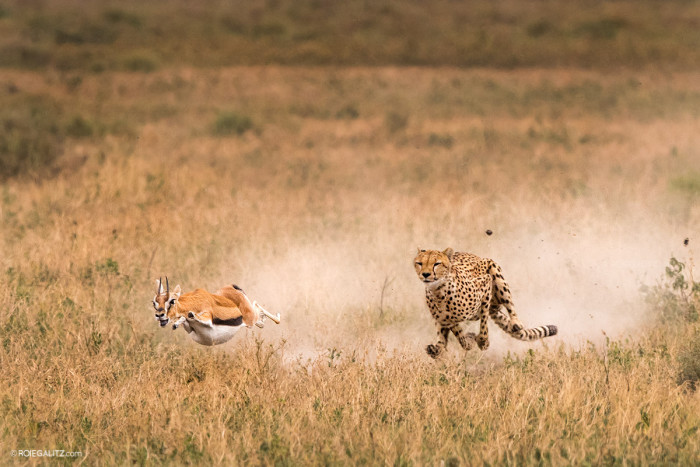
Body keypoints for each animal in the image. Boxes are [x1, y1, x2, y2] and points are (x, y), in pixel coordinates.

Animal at [414, 248, 558, 358]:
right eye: (419, 263)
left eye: (436, 263)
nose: (425, 274)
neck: (440, 291)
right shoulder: (445, 319)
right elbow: (459, 334)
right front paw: (469, 341)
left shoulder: (485, 285)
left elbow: (483, 326)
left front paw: (483, 342)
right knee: (443, 338)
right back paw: (436, 349)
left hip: (494, 270)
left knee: (509, 304)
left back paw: (516, 322)